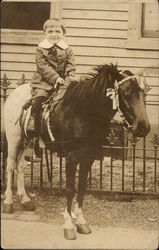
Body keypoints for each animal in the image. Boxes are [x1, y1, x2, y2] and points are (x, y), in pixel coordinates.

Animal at [3, 65, 150, 240]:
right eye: (126, 93)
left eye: (143, 92)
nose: (144, 127)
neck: (82, 112)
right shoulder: (71, 158)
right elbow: (70, 189)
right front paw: (68, 226)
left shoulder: (88, 158)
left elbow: (81, 188)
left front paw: (81, 222)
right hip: (14, 139)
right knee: (10, 167)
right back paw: (8, 203)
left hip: (28, 142)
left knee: (20, 167)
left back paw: (25, 200)